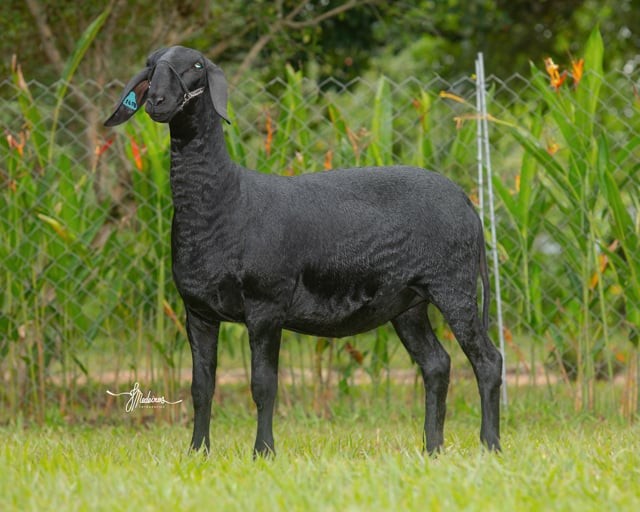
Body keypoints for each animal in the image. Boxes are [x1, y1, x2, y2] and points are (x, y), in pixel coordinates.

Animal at [105, 46, 502, 457]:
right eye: (151, 66)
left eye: (196, 65)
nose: (157, 100)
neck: (225, 200)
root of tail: (466, 200)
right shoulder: (197, 312)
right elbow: (201, 388)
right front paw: (198, 451)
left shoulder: (266, 307)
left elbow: (263, 386)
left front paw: (263, 452)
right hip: (407, 302)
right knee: (437, 364)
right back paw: (433, 448)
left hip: (453, 285)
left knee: (488, 361)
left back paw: (489, 445)